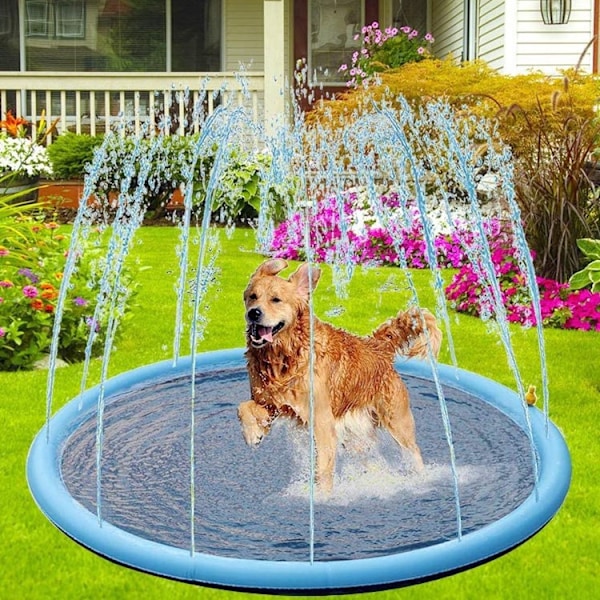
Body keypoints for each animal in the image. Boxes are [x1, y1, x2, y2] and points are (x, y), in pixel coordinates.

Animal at [238, 258, 440, 492]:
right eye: (253, 296)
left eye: (276, 299)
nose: (254, 313)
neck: (284, 356)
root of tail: (378, 346)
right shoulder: (273, 404)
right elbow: (243, 407)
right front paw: (253, 434)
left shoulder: (322, 421)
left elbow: (323, 468)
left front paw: (322, 496)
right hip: (355, 433)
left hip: (397, 421)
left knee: (413, 451)